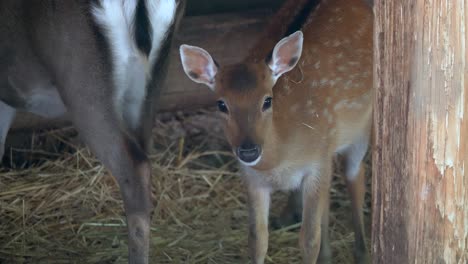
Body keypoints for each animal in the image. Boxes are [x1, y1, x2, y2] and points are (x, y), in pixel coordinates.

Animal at [180, 0, 372, 262]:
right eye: (221, 104)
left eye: (267, 100)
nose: (249, 151)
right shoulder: (253, 179)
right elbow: (257, 239)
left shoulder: (316, 163)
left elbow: (309, 239)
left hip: (361, 129)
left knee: (355, 176)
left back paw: (362, 253)